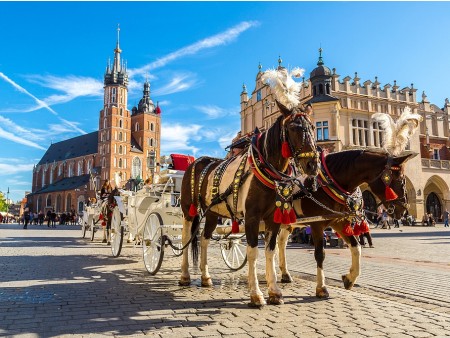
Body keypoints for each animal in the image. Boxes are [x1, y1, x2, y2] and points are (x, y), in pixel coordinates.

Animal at [179, 101, 320, 306]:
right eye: (294, 127)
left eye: (313, 127)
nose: (313, 165)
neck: (266, 170)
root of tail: (197, 161)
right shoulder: (252, 217)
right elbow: (253, 252)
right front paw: (256, 294)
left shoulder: (273, 219)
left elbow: (271, 251)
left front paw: (274, 291)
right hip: (188, 210)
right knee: (186, 238)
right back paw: (184, 276)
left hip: (212, 212)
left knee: (204, 239)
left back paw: (206, 277)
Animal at [278, 149, 414, 298]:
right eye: (400, 180)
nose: (404, 209)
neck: (328, 183)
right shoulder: (317, 225)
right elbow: (320, 254)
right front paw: (321, 287)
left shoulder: (339, 222)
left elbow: (356, 248)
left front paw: (349, 279)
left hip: (287, 223)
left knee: (281, 243)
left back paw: (284, 274)